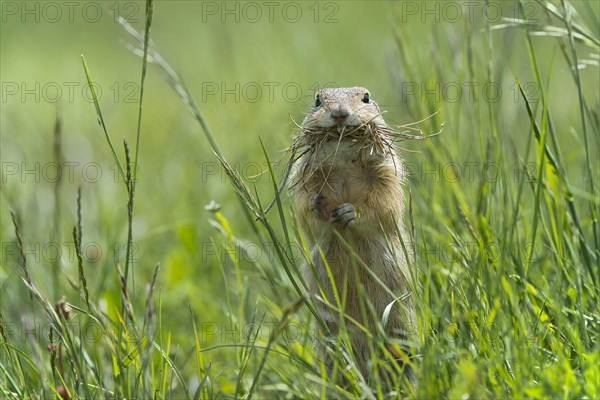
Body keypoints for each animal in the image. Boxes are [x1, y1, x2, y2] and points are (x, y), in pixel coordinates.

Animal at [290, 86, 418, 390]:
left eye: (366, 97)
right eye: (317, 100)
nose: (339, 114)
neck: (344, 163)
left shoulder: (387, 173)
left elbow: (382, 206)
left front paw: (350, 211)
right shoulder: (303, 177)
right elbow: (304, 212)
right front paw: (318, 206)